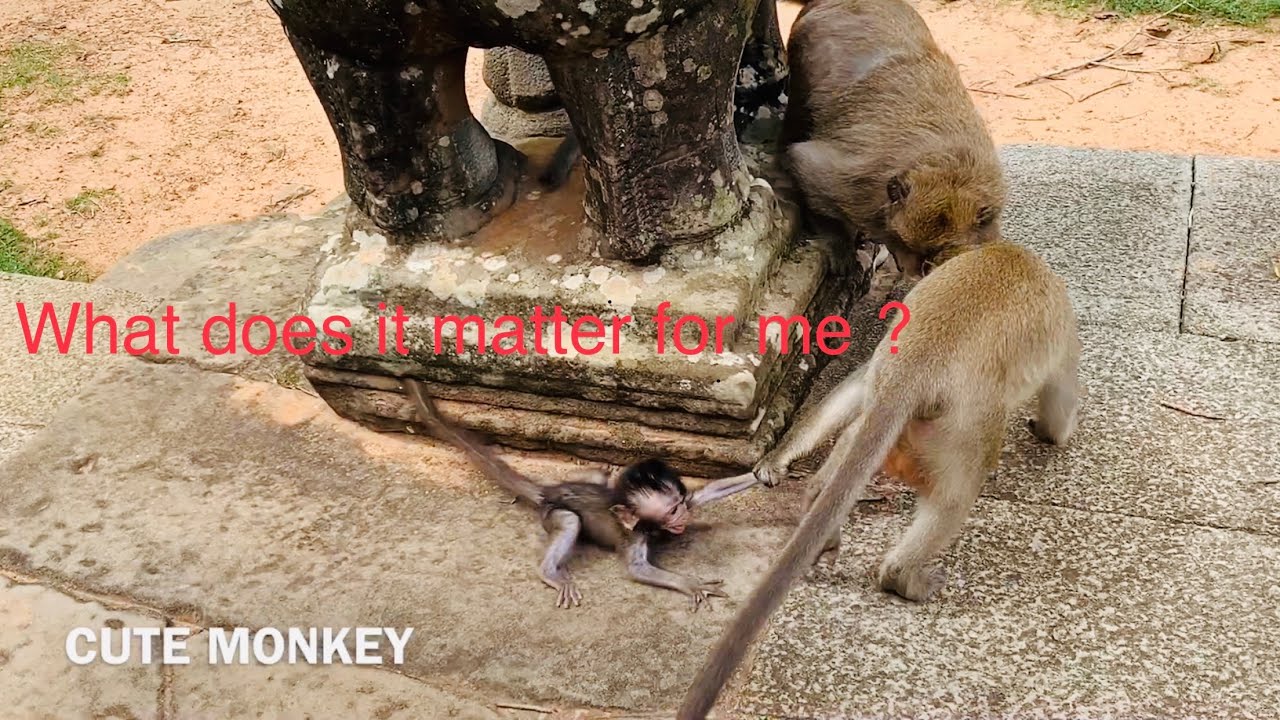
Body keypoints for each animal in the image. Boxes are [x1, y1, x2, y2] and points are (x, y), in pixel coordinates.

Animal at [402, 378, 763, 610]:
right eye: (672, 511)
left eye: (680, 504)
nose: (684, 516)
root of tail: (549, 490)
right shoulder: (634, 536)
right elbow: (636, 569)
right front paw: (690, 583)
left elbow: (711, 491)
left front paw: (764, 471)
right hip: (553, 513)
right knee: (571, 523)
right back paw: (550, 571)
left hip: (583, 482)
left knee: (601, 476)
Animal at [675, 239, 1082, 718]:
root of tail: (914, 369)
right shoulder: (1063, 321)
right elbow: (1060, 396)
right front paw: (1052, 432)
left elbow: (851, 388)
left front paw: (779, 459)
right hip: (958, 428)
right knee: (955, 495)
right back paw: (902, 576)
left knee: (858, 429)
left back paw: (821, 512)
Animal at [780, 0, 1006, 281]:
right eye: (902, 241)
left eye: (932, 254)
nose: (913, 271)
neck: (954, 170)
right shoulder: (858, 188)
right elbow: (805, 162)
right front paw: (838, 242)